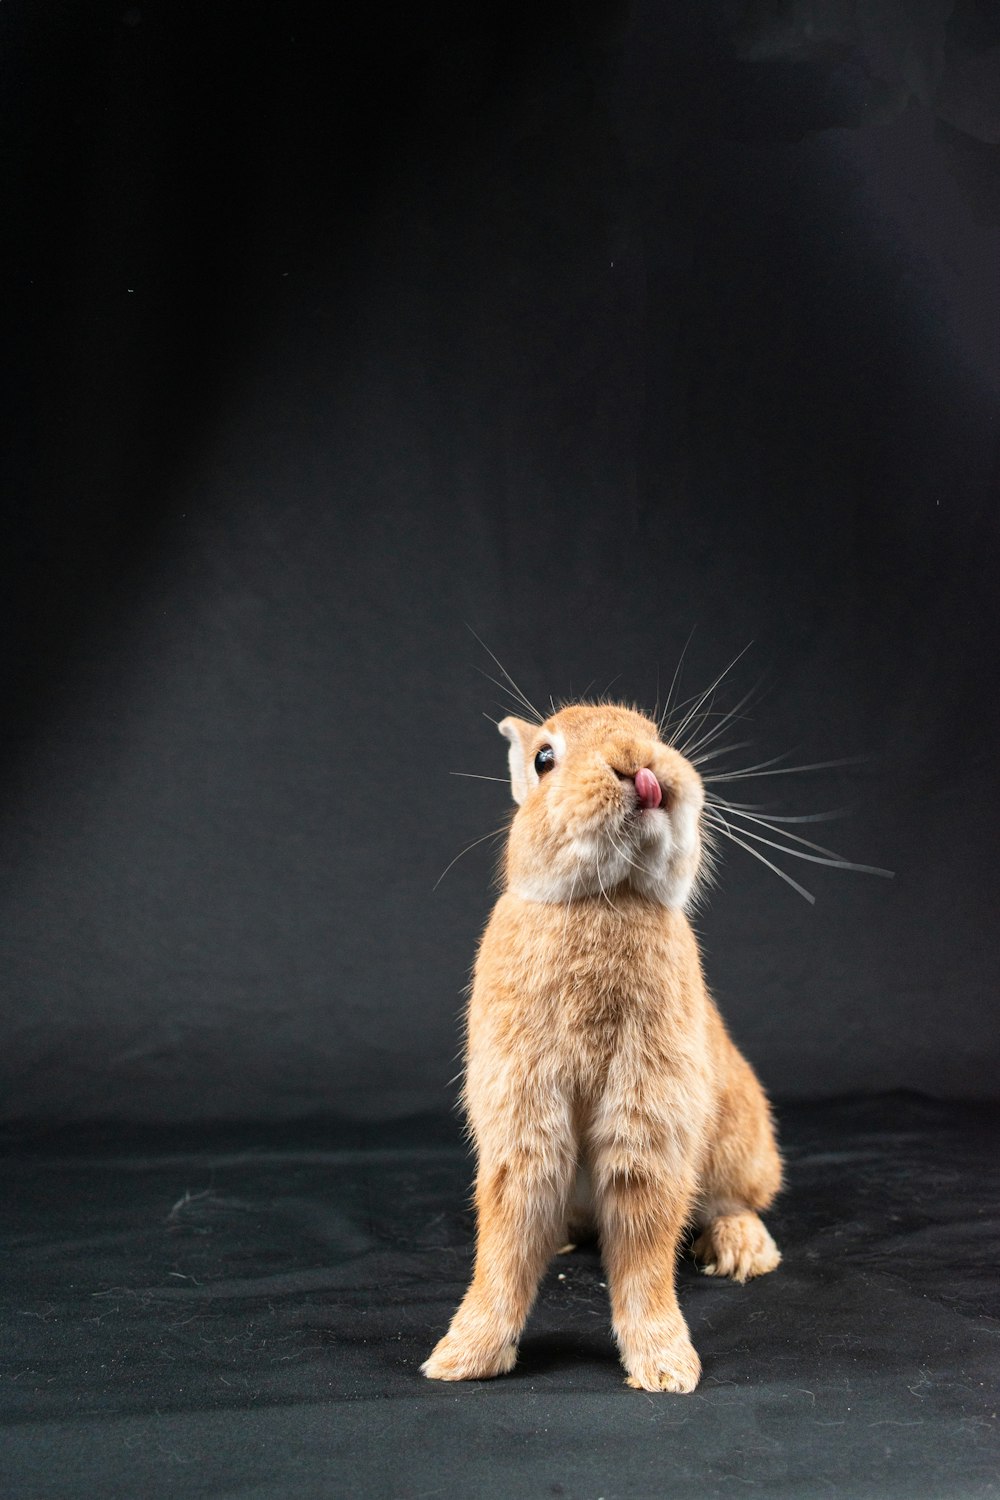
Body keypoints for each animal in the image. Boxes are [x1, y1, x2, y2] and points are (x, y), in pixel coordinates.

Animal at [422, 705, 779, 1392]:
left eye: (658, 735)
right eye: (543, 759)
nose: (638, 764)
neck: (602, 899)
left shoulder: (648, 1113)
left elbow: (644, 1245)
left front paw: (666, 1368)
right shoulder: (523, 1116)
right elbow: (506, 1240)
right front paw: (460, 1359)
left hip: (739, 1140)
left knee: (734, 1200)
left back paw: (742, 1250)